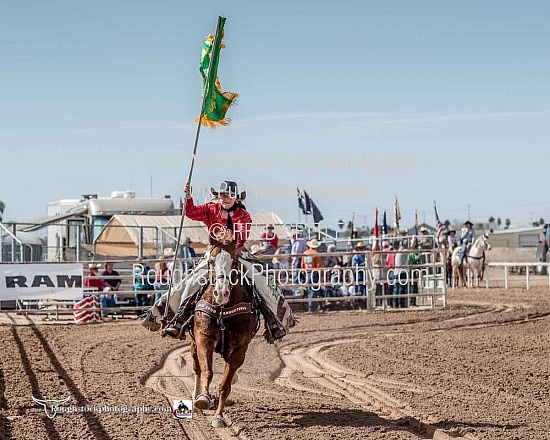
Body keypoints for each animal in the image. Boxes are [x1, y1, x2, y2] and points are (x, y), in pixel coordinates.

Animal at [190, 229, 260, 428]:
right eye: (211, 262)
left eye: (234, 261)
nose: (221, 293)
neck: (223, 309)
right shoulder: (204, 337)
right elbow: (207, 371)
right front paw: (203, 399)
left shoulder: (240, 348)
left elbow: (225, 385)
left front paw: (219, 417)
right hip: (193, 342)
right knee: (196, 367)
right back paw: (195, 397)